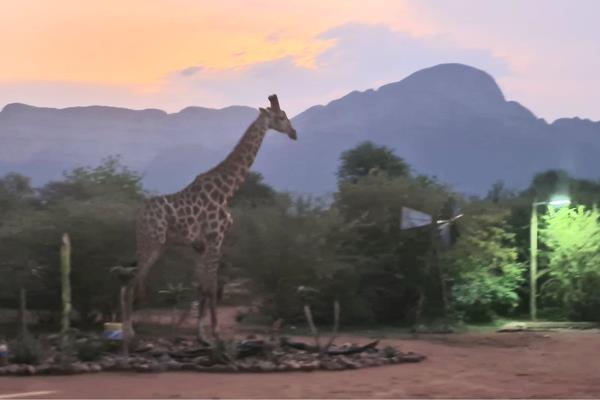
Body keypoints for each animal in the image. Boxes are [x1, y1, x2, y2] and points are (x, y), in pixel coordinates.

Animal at [124, 95, 298, 342]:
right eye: (281, 116)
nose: (294, 132)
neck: (226, 190)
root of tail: (139, 215)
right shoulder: (216, 238)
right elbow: (213, 287)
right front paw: (216, 333)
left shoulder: (200, 245)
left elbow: (202, 288)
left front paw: (201, 335)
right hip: (152, 243)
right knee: (129, 284)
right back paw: (128, 331)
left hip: (149, 244)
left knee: (128, 282)